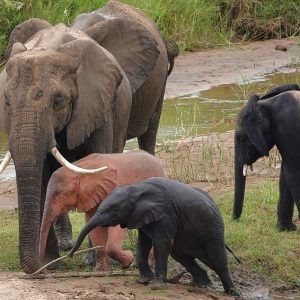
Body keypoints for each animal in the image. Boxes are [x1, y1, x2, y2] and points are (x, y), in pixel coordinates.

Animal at [0, 0, 177, 274]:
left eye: (58, 101)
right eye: (7, 102)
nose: (39, 269)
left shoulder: (99, 104)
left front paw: (90, 261)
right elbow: (42, 175)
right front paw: (50, 262)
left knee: (147, 136)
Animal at [232, 83, 300, 231]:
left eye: (240, 138)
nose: (234, 220)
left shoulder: (288, 127)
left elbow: (292, 173)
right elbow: (285, 174)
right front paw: (286, 229)